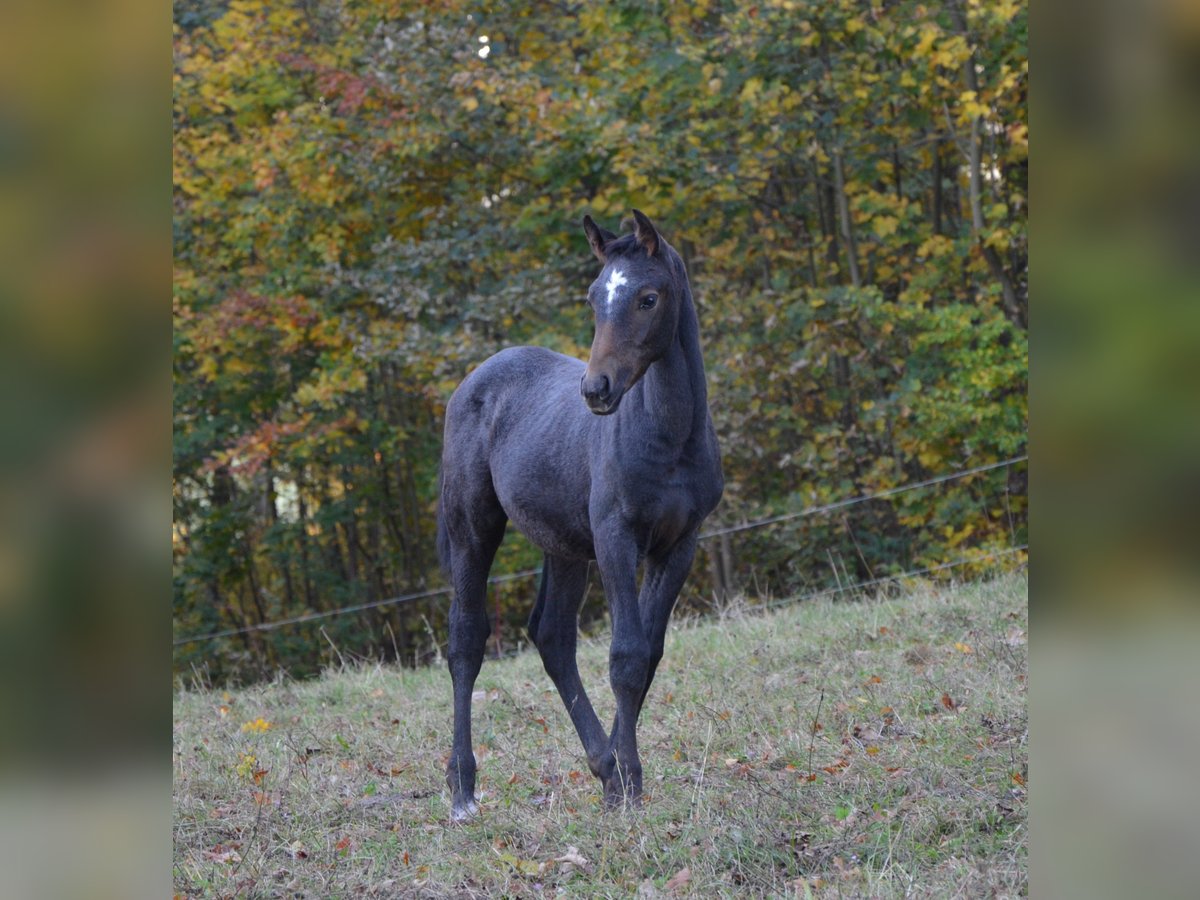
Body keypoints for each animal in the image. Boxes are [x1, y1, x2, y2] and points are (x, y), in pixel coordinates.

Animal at [439, 213, 720, 825]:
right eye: (594, 298)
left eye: (647, 297)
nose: (596, 390)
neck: (668, 438)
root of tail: (474, 380)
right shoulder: (616, 538)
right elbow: (625, 657)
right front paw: (632, 785)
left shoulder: (679, 545)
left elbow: (648, 656)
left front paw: (620, 778)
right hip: (473, 530)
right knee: (466, 642)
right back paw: (463, 791)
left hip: (564, 547)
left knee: (552, 636)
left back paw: (601, 767)